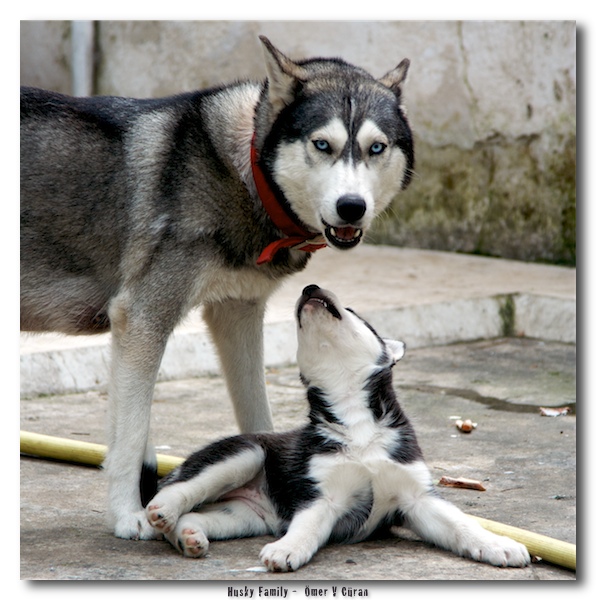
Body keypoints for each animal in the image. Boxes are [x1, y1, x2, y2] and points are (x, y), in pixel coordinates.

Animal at [19, 35, 414, 540]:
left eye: (376, 147)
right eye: (322, 145)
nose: (352, 206)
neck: (241, 170)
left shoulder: (237, 315)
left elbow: (255, 415)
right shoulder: (142, 319)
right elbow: (130, 433)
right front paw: (127, 515)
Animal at [148, 286, 532, 572]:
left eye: (350, 308)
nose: (309, 287)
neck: (353, 415)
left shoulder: (416, 497)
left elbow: (461, 523)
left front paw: (498, 544)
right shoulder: (322, 496)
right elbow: (307, 527)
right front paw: (287, 549)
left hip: (244, 515)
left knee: (198, 514)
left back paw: (189, 535)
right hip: (245, 453)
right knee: (180, 489)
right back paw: (163, 510)